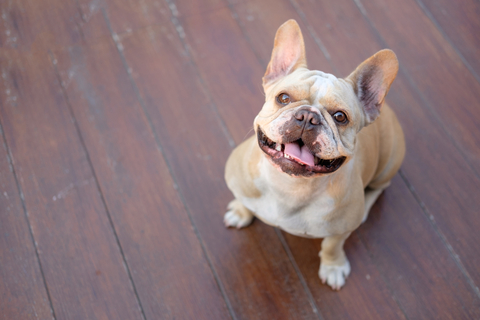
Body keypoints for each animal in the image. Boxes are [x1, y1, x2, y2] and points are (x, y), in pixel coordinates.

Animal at [223, 20, 404, 290]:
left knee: (379, 188)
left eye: (340, 117)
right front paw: (240, 211)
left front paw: (333, 266)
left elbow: (331, 246)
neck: (289, 185)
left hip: (389, 162)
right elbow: (244, 201)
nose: (308, 116)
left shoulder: (339, 231)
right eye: (283, 98)